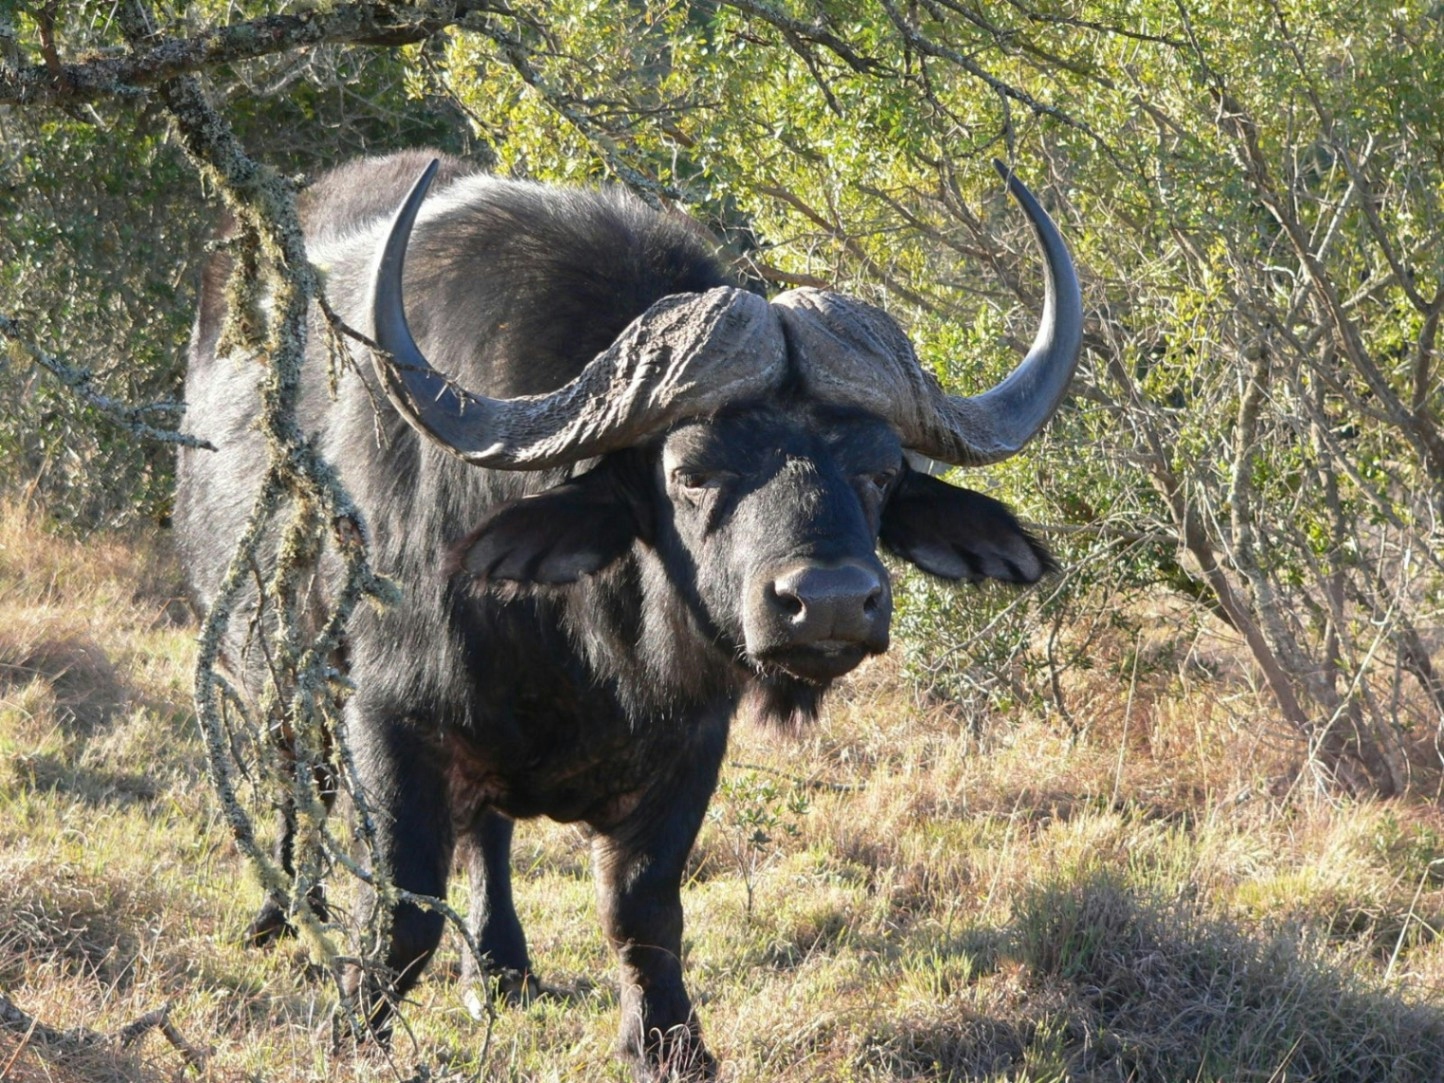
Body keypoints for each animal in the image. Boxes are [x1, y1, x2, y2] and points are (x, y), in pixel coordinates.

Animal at [174, 148, 1080, 1080]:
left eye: (881, 470)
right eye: (692, 471)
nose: (828, 601)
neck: (581, 646)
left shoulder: (690, 740)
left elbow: (641, 907)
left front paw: (669, 1042)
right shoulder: (389, 715)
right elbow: (403, 909)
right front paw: (354, 1032)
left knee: (486, 835)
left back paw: (499, 965)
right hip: (270, 663)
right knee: (295, 777)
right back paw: (284, 912)